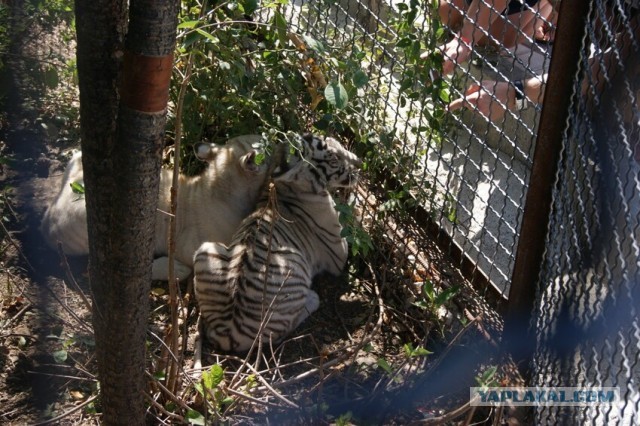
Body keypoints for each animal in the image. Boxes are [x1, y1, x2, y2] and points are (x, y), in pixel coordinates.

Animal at [40, 135, 271, 281]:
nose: (277, 138)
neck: (218, 186)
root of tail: (47, 219)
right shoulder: (194, 247)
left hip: (77, 160)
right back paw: (173, 270)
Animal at [193, 133, 362, 352]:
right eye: (333, 158)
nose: (360, 163)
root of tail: (228, 334)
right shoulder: (338, 253)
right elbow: (348, 220)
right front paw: (357, 203)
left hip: (205, 250)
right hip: (294, 265)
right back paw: (312, 299)